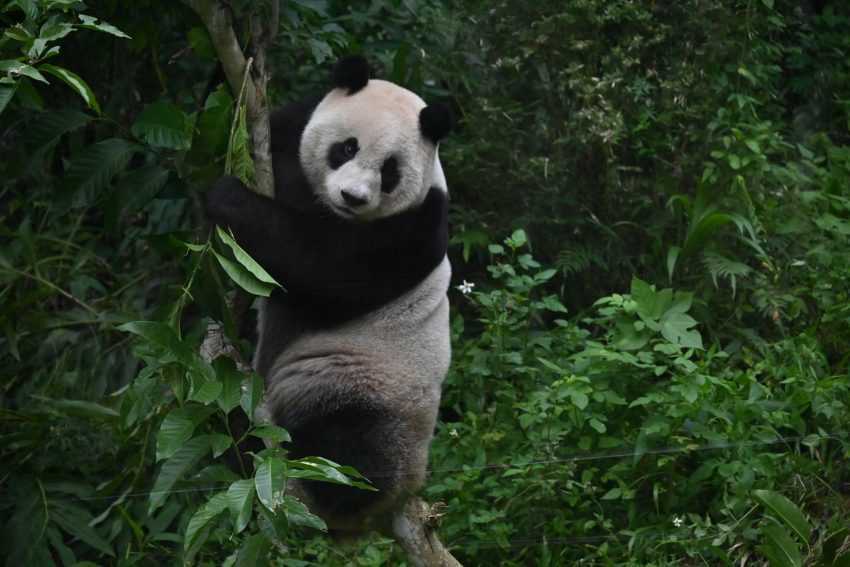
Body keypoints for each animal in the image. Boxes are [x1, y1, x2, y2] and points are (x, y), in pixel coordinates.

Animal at [205, 55, 450, 536]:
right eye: (346, 148)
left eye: (390, 171)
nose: (352, 197)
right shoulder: (288, 135)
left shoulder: (418, 226)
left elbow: (330, 273)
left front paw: (227, 199)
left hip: (370, 386)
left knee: (352, 450)